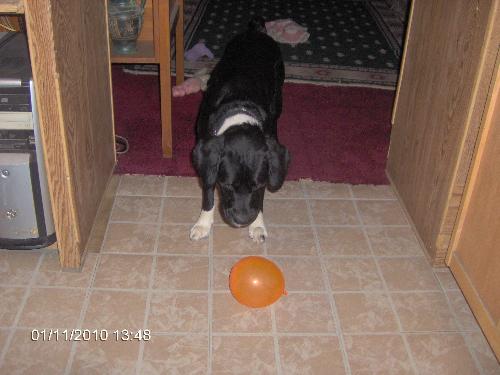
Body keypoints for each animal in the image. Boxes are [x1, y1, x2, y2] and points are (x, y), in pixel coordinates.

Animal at [190, 17, 290, 242]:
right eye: (226, 186)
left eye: (258, 185)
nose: (242, 220)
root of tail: (256, 31)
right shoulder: (207, 158)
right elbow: (208, 191)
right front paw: (203, 223)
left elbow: (260, 199)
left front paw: (258, 225)